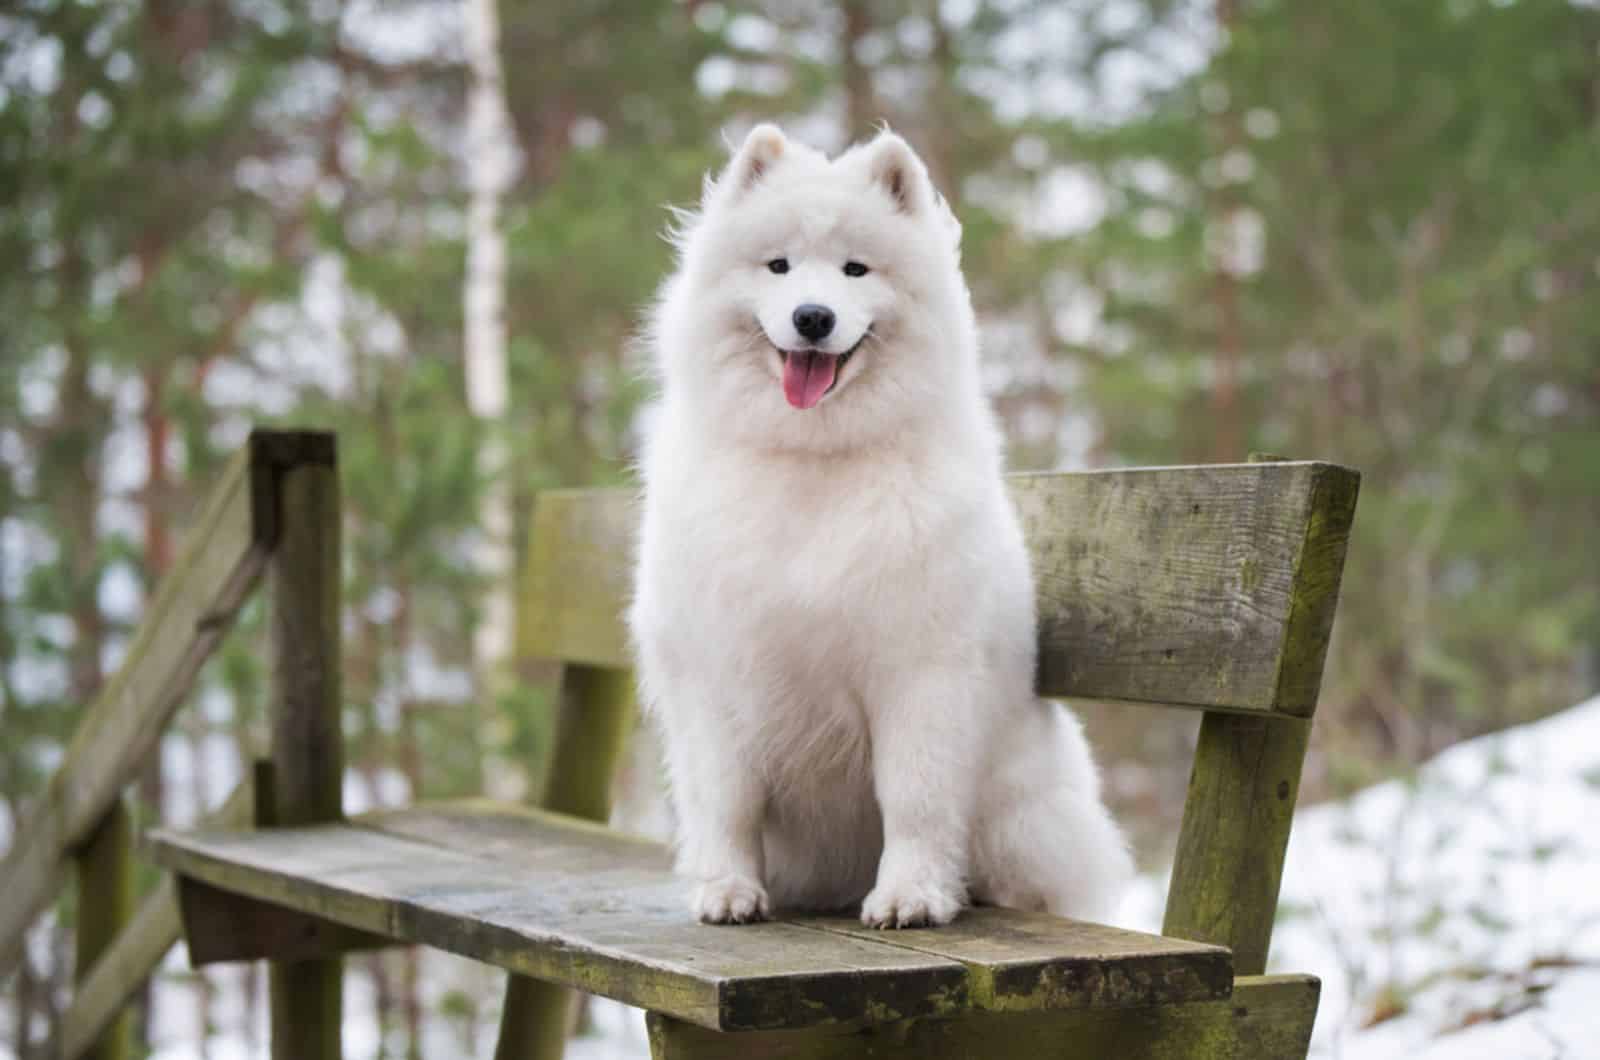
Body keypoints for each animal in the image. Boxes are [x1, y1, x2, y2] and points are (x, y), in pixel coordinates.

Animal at [630, 126, 1132, 928]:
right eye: (778, 265)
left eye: (855, 269)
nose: (813, 316)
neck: (814, 462)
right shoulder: (715, 673)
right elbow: (727, 801)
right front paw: (728, 891)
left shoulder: (919, 671)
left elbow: (914, 798)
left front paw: (912, 897)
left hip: (1022, 821)